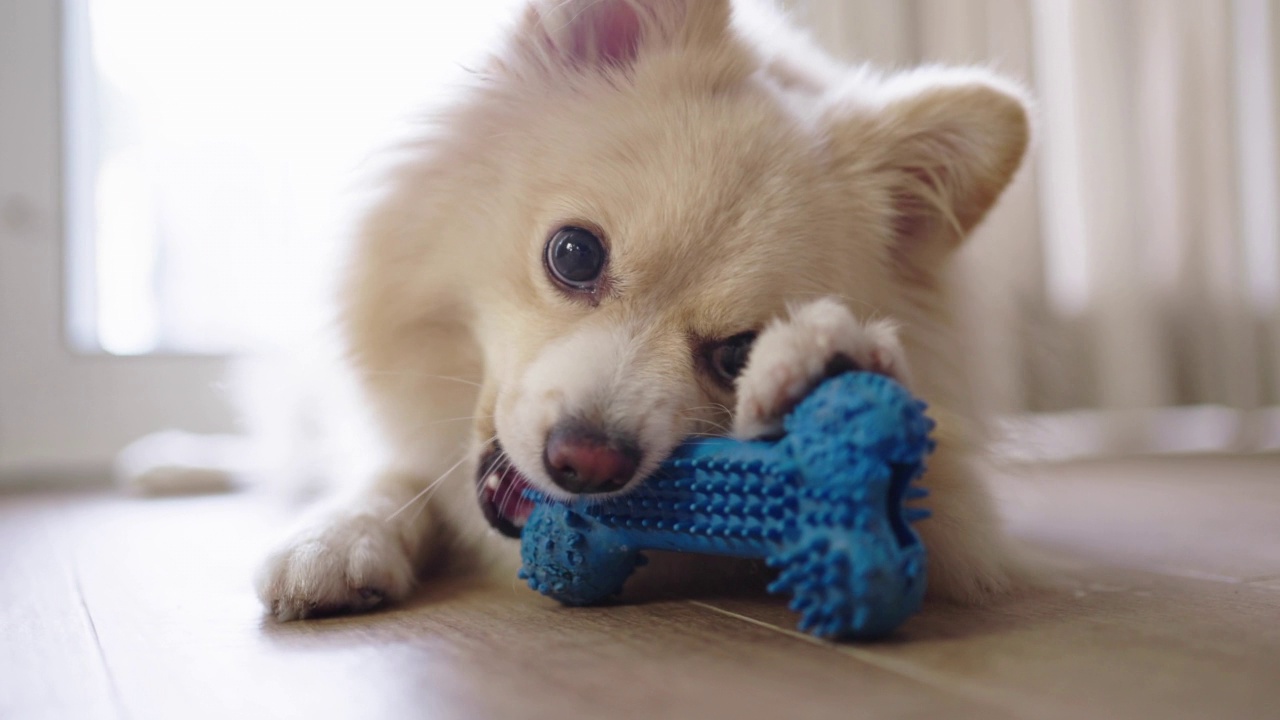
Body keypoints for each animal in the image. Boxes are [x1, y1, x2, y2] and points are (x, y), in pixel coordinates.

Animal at [257, 0, 1029, 617]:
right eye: (573, 254)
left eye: (738, 353)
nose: (588, 462)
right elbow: (392, 474)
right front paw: (336, 537)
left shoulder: (962, 518)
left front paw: (822, 364)